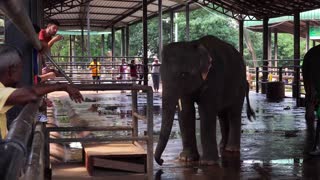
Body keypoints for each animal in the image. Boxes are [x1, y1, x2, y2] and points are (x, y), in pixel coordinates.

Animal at [154, 35, 255, 166]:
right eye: (160, 74)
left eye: (183, 74)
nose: (161, 161)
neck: (195, 44)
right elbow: (186, 111)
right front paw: (186, 159)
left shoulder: (214, 76)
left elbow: (206, 111)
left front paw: (208, 163)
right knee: (222, 115)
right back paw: (222, 146)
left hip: (239, 86)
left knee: (234, 113)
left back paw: (231, 149)